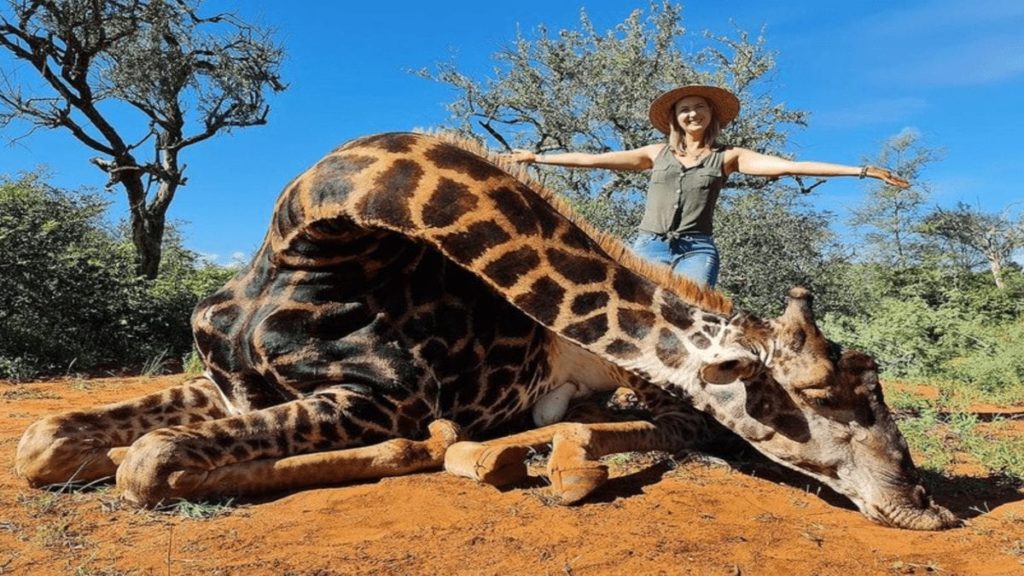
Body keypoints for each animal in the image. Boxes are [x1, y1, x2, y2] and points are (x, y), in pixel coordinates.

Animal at [15, 132, 958, 530]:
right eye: (826, 399)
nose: (924, 510)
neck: (308, 242)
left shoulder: (384, 398)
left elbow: (148, 463)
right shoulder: (223, 381)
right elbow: (43, 441)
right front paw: (90, 450)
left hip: (629, 390)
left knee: (661, 426)